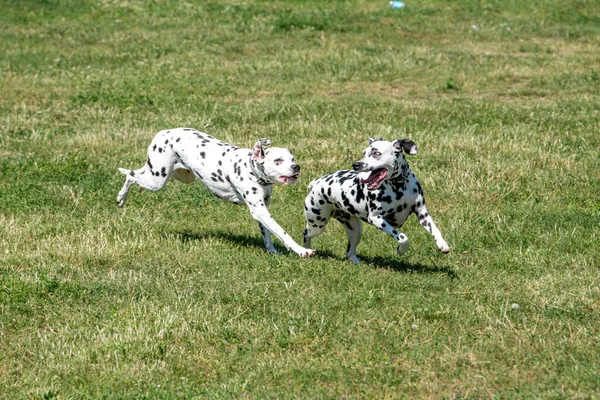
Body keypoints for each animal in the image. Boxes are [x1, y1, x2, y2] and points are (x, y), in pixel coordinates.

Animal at [116, 129, 314, 260]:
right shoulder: (260, 210)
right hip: (157, 180)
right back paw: (121, 198)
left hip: (179, 175)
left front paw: (272, 250)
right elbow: (282, 232)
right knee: (131, 176)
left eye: (292, 159)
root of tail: (162, 133)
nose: (296, 167)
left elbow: (268, 233)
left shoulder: (262, 209)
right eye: (278, 160)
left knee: (136, 174)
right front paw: (301, 250)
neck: (251, 169)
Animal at [304, 136, 450, 264]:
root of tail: (316, 182)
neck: (399, 187)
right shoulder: (377, 219)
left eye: (376, 153)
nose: (356, 164)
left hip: (355, 230)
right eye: (364, 153)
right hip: (317, 223)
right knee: (306, 232)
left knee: (350, 252)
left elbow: (435, 229)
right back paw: (306, 250)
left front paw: (442, 244)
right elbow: (403, 237)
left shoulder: (422, 215)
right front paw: (401, 249)